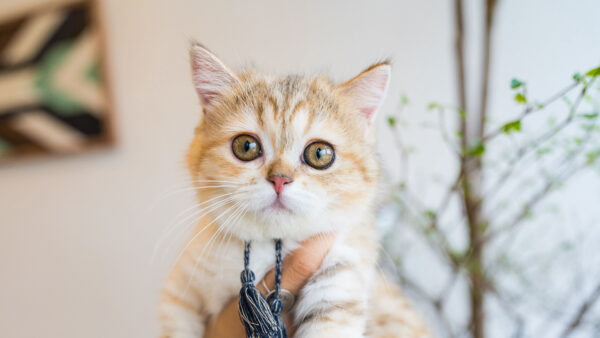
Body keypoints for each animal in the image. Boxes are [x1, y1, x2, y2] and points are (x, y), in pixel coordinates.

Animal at [159, 45, 432, 338]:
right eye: (246, 146)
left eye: (320, 153)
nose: (279, 179)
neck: (271, 247)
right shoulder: (178, 297)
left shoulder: (340, 282)